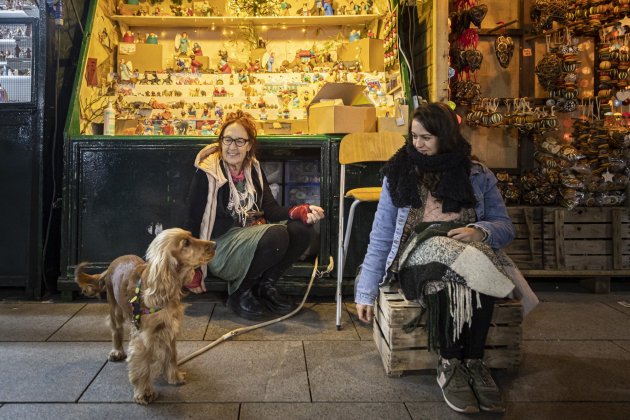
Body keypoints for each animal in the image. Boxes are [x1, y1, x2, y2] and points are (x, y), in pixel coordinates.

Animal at [74, 228, 215, 406]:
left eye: (191, 236)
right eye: (186, 243)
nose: (215, 244)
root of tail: (114, 261)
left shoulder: (169, 327)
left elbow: (172, 355)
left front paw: (174, 376)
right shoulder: (142, 337)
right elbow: (142, 367)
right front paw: (145, 393)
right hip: (115, 308)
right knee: (116, 330)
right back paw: (117, 352)